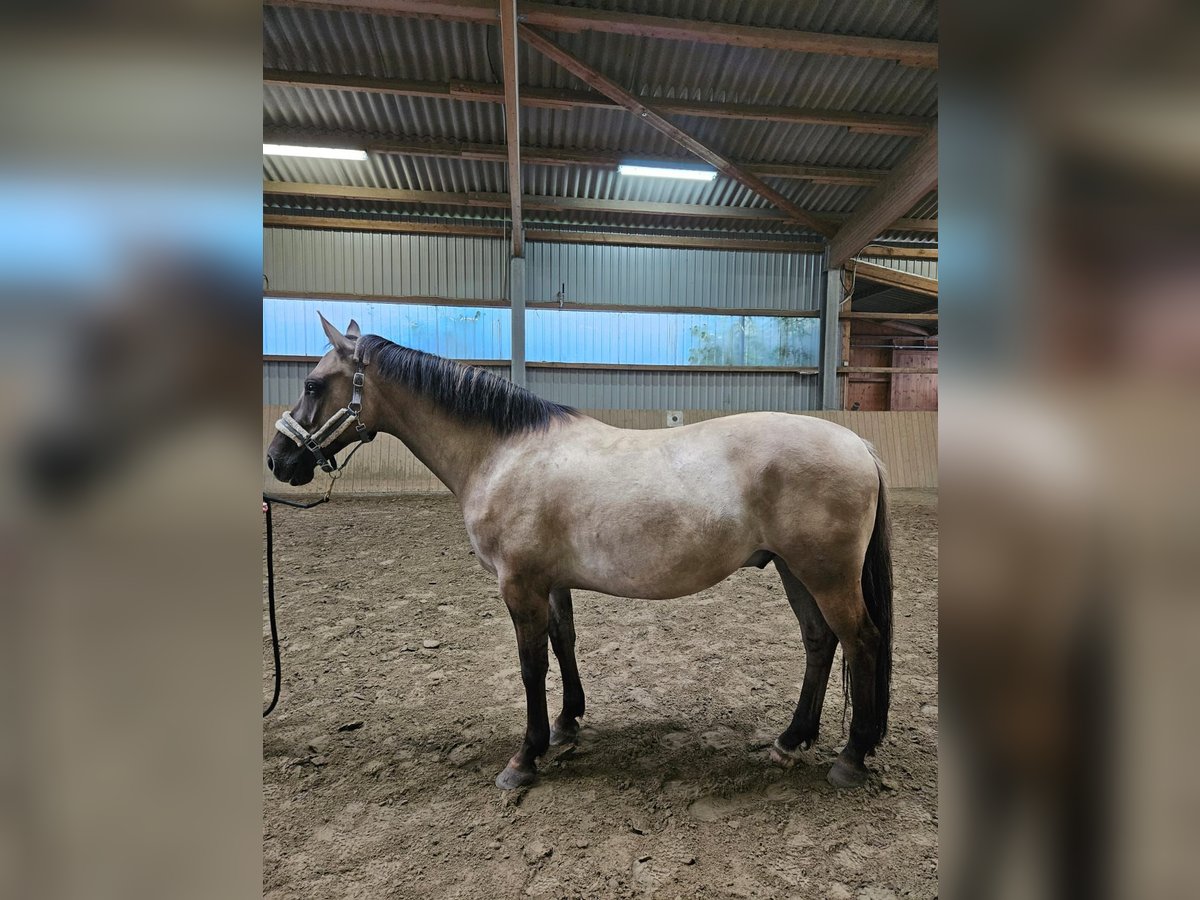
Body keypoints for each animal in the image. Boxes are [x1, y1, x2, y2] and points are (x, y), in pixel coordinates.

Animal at [270, 314, 892, 787]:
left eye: (312, 385)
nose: (278, 459)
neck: (505, 452)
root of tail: (859, 444)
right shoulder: (550, 583)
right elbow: (563, 643)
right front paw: (567, 724)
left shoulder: (518, 585)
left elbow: (531, 665)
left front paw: (525, 758)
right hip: (795, 571)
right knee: (820, 641)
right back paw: (792, 739)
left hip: (825, 575)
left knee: (861, 641)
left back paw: (851, 757)